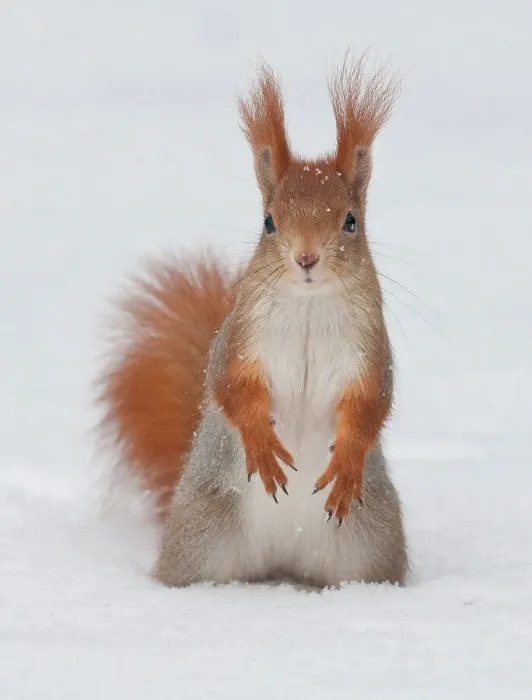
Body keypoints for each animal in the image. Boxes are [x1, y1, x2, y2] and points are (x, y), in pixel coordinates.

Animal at [97, 54, 408, 589]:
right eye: (269, 221)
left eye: (350, 221)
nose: (306, 258)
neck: (308, 303)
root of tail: (283, 559)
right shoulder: (239, 340)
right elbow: (231, 386)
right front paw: (262, 446)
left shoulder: (371, 351)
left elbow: (371, 402)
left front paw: (348, 461)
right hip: (203, 535)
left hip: (371, 542)